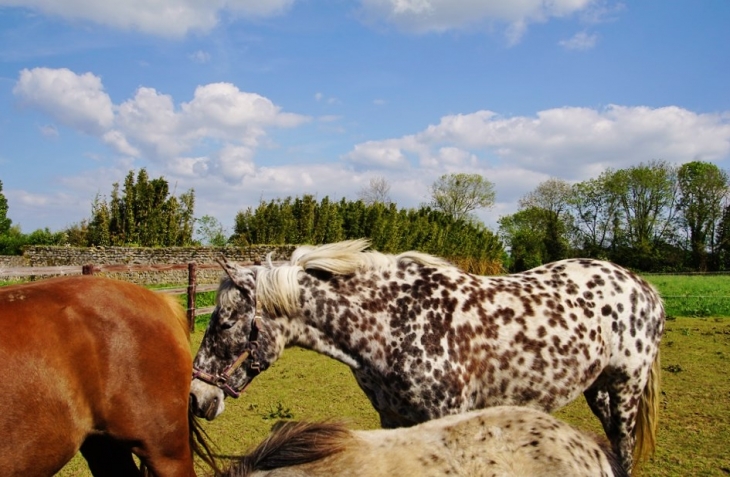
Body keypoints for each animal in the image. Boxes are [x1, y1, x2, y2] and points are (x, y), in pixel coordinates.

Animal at [189, 238, 664, 472]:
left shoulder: (446, 417)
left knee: (623, 449)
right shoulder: (393, 421)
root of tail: (643, 287)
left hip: (626, 391)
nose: (195, 397)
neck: (396, 320)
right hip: (599, 391)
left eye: (224, 323)